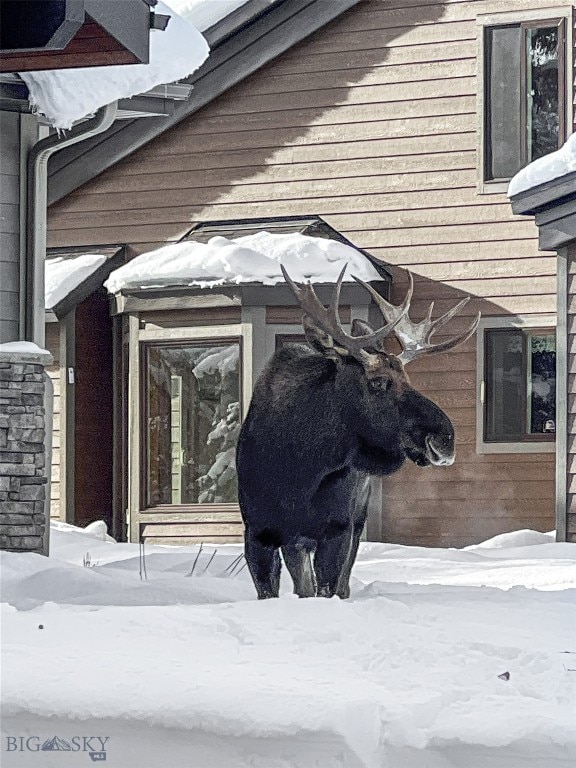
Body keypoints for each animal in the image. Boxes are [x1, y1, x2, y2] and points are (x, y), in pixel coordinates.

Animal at [236, 266, 480, 600]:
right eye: (377, 381)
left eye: (408, 378)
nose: (444, 438)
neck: (300, 467)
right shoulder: (258, 533)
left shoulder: (338, 529)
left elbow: (329, 588)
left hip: (356, 519)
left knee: (341, 584)